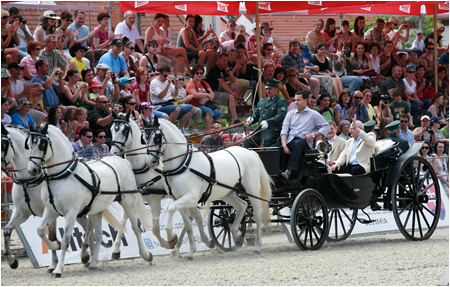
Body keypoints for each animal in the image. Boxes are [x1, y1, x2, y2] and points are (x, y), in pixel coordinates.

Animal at [25, 125, 153, 278]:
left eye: (42, 144)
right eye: (29, 144)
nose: (32, 170)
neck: (63, 175)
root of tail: (123, 161)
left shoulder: (71, 213)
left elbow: (66, 241)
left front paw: (58, 269)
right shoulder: (51, 210)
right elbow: (40, 231)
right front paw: (55, 245)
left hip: (128, 201)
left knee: (135, 227)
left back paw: (146, 255)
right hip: (97, 209)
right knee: (98, 233)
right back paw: (93, 262)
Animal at [109, 115, 214, 260]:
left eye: (124, 131)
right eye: (111, 129)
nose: (113, 153)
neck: (142, 164)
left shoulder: (155, 199)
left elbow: (154, 228)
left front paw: (168, 242)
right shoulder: (131, 196)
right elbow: (123, 221)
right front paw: (115, 250)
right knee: (194, 217)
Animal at [142, 118, 272, 258]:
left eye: (157, 137)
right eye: (144, 138)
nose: (151, 163)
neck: (183, 164)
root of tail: (251, 152)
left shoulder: (191, 198)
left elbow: (172, 210)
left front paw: (172, 238)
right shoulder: (178, 199)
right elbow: (188, 225)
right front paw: (191, 250)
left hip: (252, 189)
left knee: (258, 214)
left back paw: (257, 246)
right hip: (228, 192)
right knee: (242, 205)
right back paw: (236, 237)